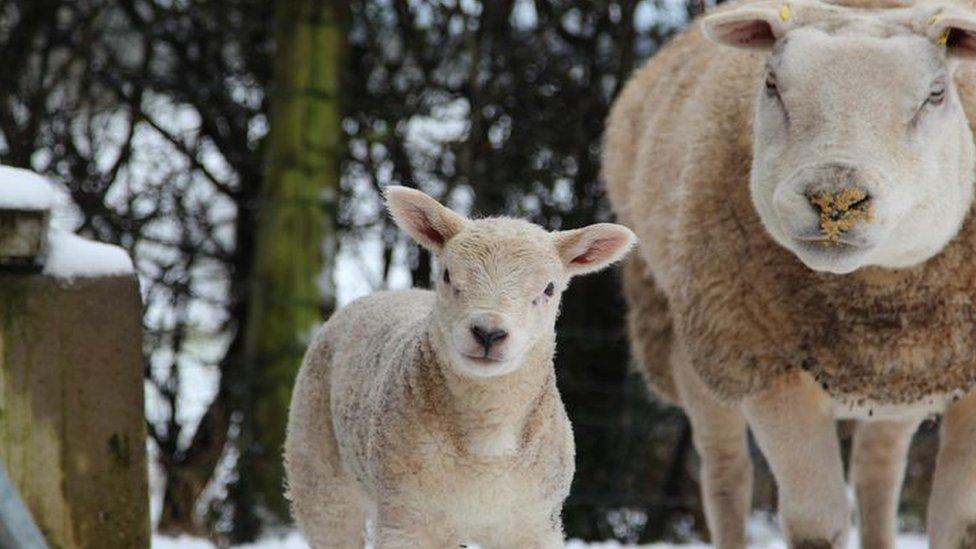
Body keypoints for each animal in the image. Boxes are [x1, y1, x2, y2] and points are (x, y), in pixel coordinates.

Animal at [284, 186, 632, 544]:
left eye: (548, 289)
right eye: (448, 274)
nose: (488, 332)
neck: (485, 449)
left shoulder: (534, 522)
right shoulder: (407, 516)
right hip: (317, 470)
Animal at [608, 0, 976, 544]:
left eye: (936, 93)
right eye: (772, 84)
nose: (835, 199)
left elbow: (960, 523)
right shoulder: (765, 362)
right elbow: (814, 520)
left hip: (909, 371)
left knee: (876, 473)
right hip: (696, 344)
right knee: (727, 477)